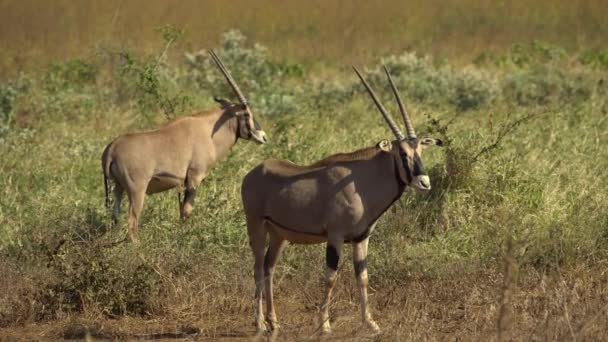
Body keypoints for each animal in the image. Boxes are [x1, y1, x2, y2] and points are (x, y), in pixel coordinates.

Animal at [103, 50, 268, 243]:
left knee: (115, 217)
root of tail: (113, 147)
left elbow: (181, 211)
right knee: (132, 223)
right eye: (246, 114)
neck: (209, 131)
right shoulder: (195, 177)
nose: (263, 137)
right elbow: (187, 212)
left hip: (118, 188)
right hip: (137, 191)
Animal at [241, 65, 442, 332]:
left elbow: (363, 277)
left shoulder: (361, 238)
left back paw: (274, 322)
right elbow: (330, 277)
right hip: (256, 227)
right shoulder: (335, 237)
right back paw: (260, 324)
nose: (424, 182)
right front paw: (324, 325)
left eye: (420, 150)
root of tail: (252, 173)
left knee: (268, 267)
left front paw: (371, 323)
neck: (362, 182)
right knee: (256, 268)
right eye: (402, 153)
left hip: (278, 235)